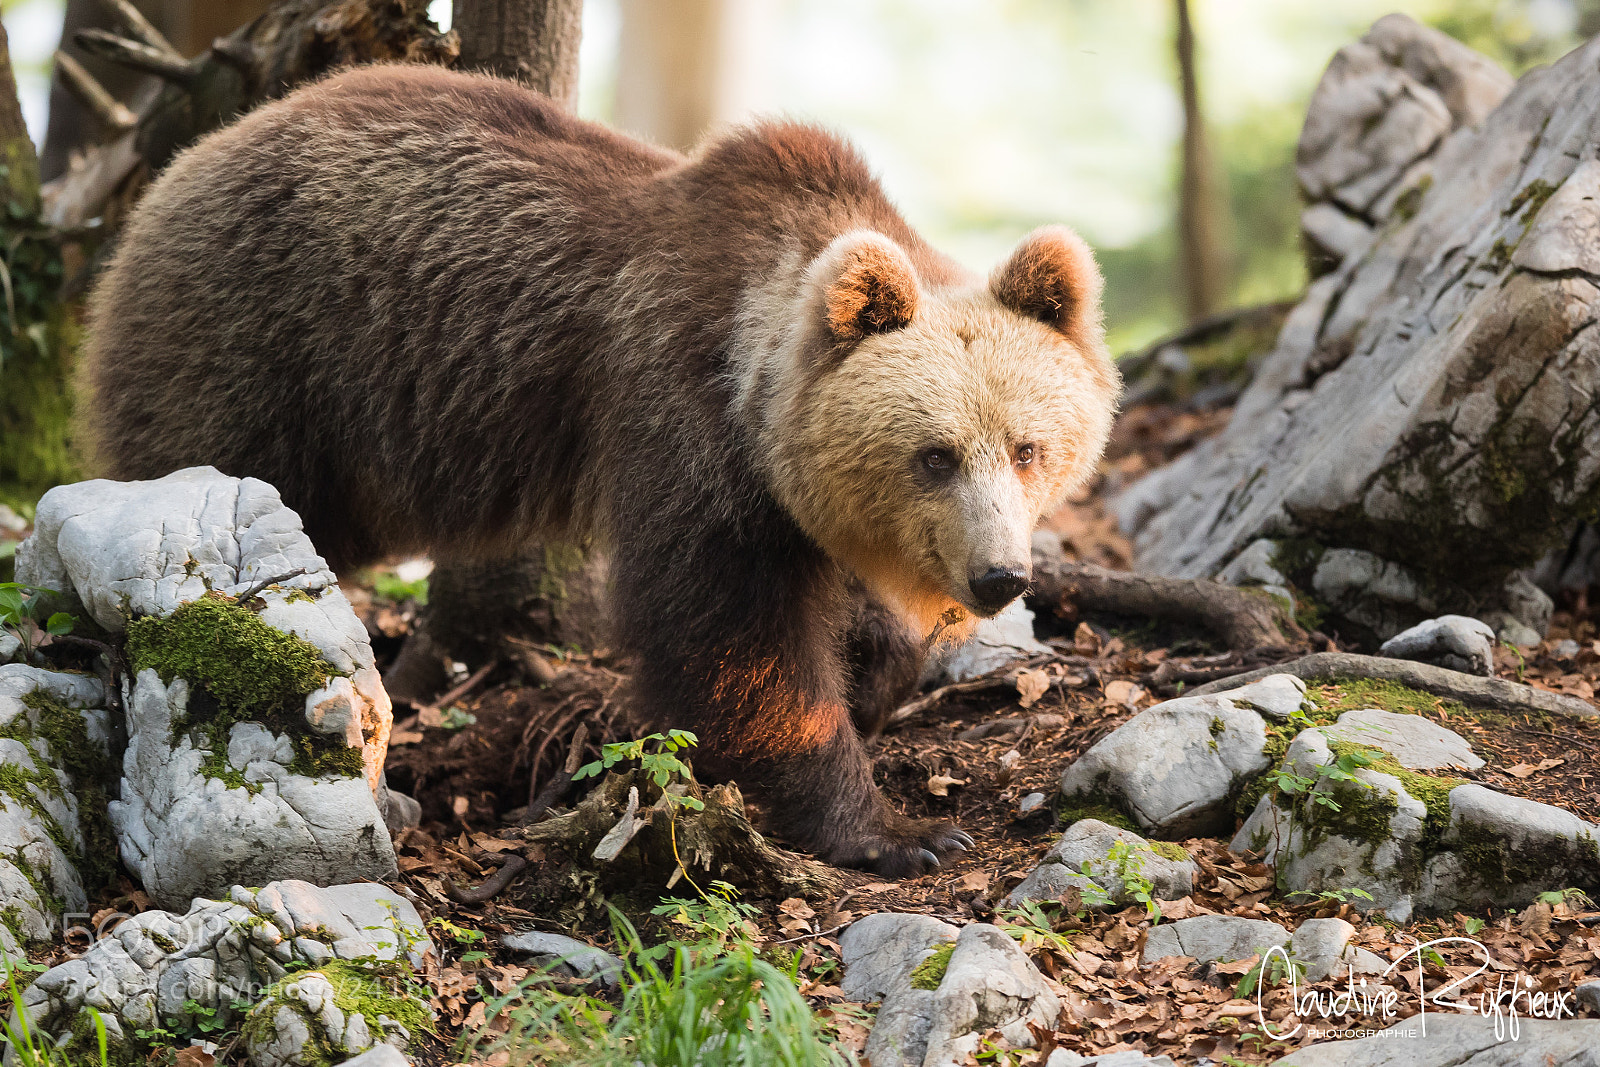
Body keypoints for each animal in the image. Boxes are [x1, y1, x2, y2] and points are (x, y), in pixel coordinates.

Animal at [82, 64, 1121, 875]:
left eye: (1028, 447)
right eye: (934, 454)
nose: (1000, 575)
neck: (750, 375)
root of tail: (174, 171)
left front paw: (876, 676)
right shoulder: (682, 423)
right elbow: (732, 638)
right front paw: (896, 828)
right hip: (261, 353)